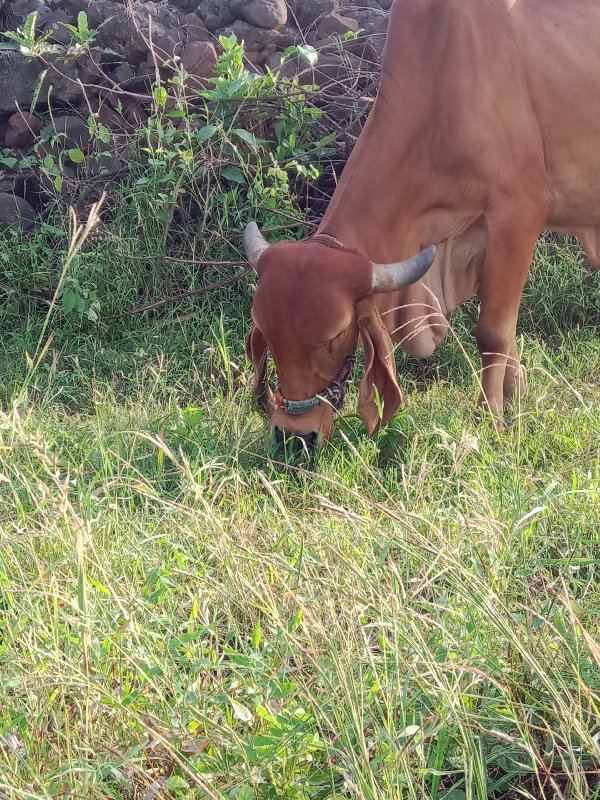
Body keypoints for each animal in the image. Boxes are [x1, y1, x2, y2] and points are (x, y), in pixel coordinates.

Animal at [244, 0, 600, 450]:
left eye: (335, 336)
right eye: (267, 333)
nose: (294, 435)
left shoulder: (519, 212)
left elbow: (493, 333)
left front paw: (491, 419)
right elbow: (508, 336)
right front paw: (516, 400)